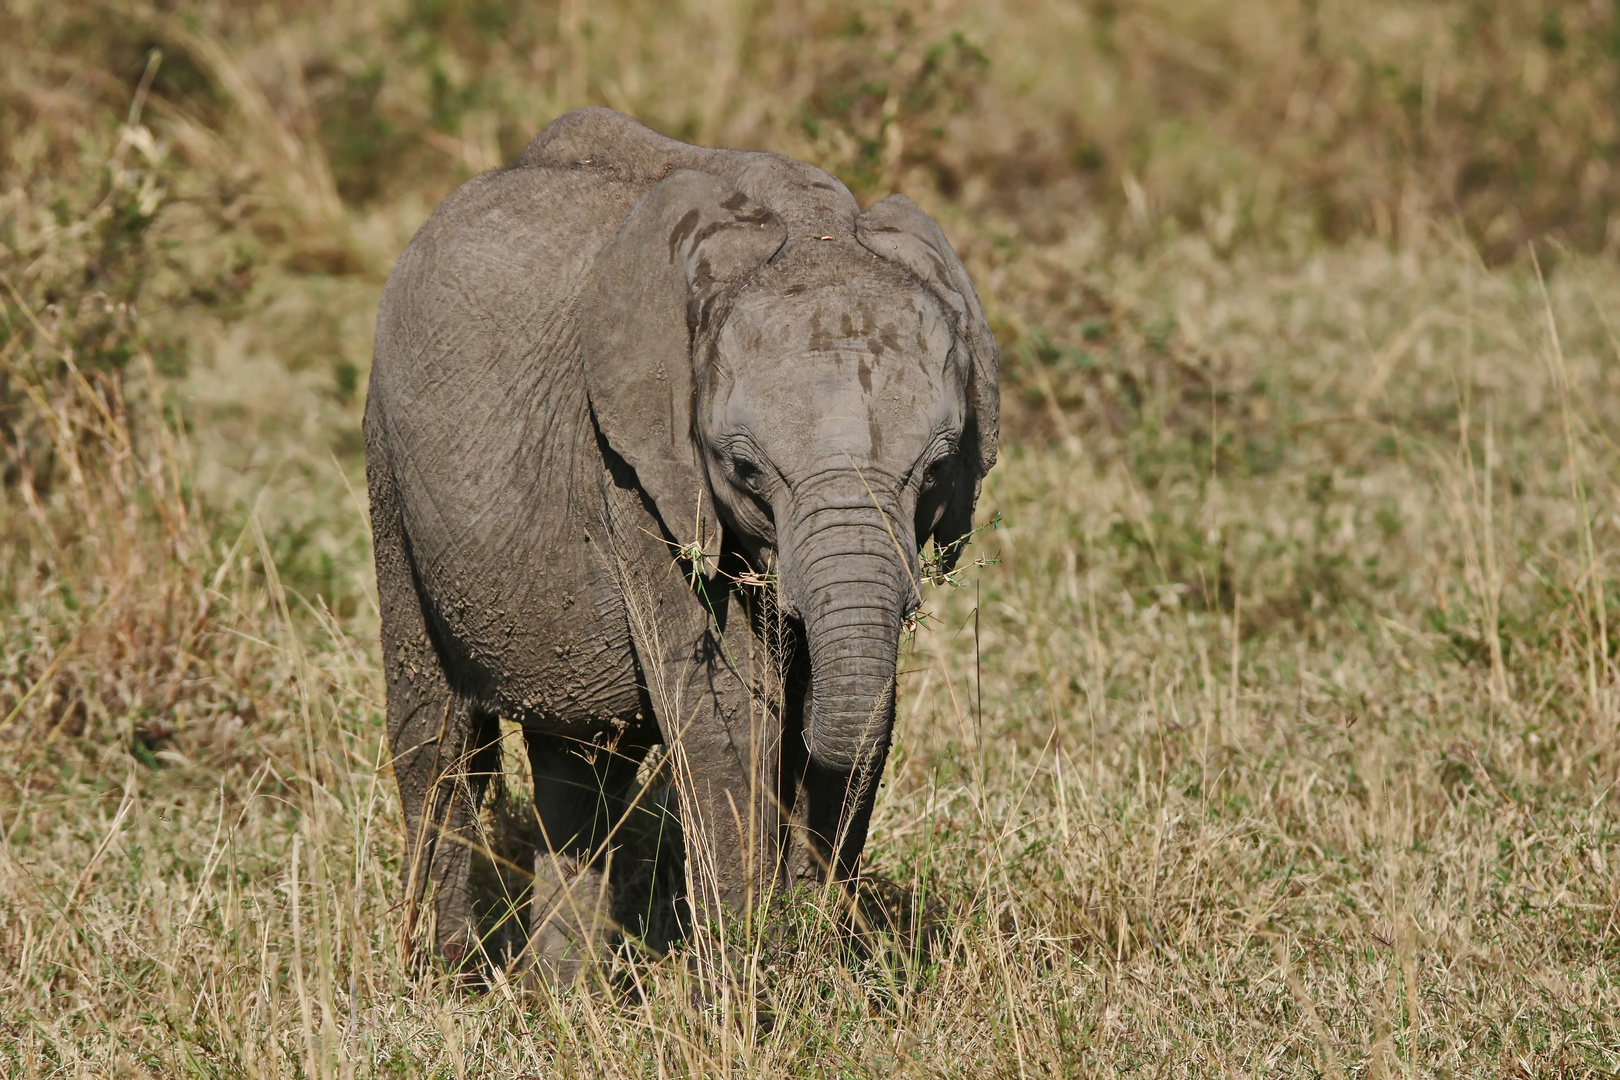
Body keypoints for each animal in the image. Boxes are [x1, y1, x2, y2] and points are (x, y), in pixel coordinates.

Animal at [369, 107, 997, 977]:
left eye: (937, 468)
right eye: (744, 467)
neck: (809, 225)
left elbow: (868, 713)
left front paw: (811, 974)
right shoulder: (634, 475)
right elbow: (728, 718)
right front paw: (749, 988)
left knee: (580, 765)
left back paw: (562, 992)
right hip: (389, 475)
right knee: (441, 745)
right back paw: (449, 976)